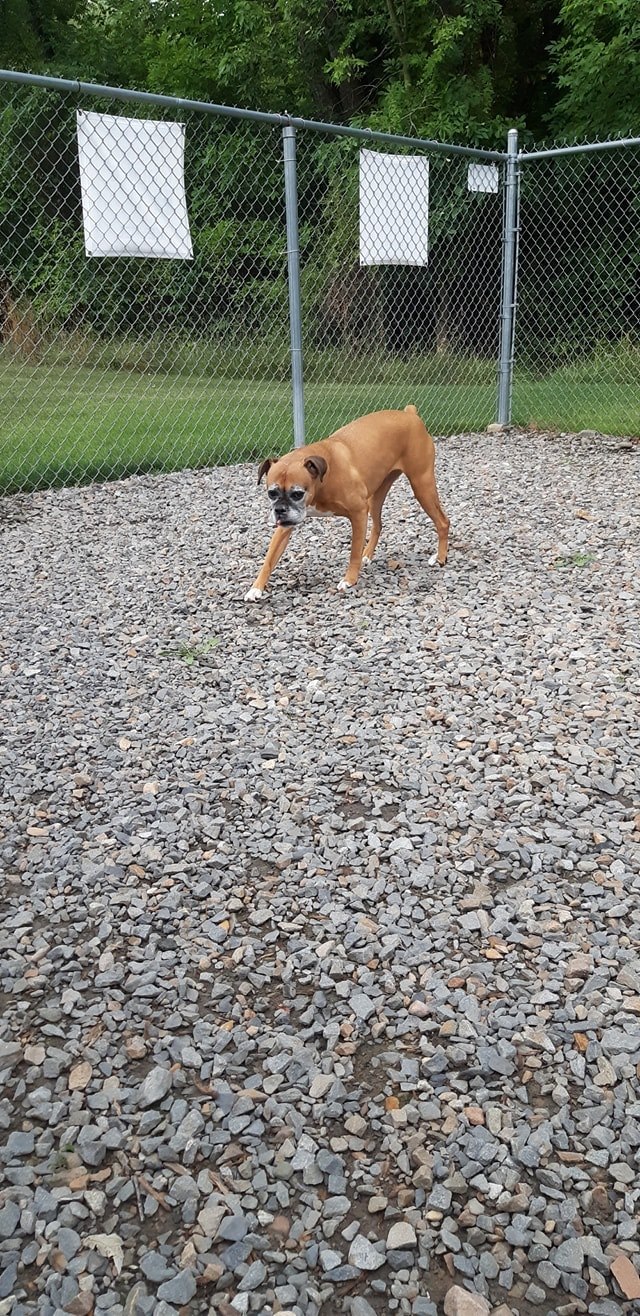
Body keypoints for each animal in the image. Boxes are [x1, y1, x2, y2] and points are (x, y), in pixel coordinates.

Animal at [244, 405, 449, 601]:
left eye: (297, 494)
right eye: (272, 493)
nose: (279, 510)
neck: (322, 478)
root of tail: (410, 414)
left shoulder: (358, 513)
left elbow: (354, 553)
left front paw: (349, 580)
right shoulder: (285, 527)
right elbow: (269, 558)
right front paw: (256, 588)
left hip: (422, 486)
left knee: (442, 522)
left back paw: (440, 558)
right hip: (377, 496)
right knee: (378, 525)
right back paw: (368, 554)